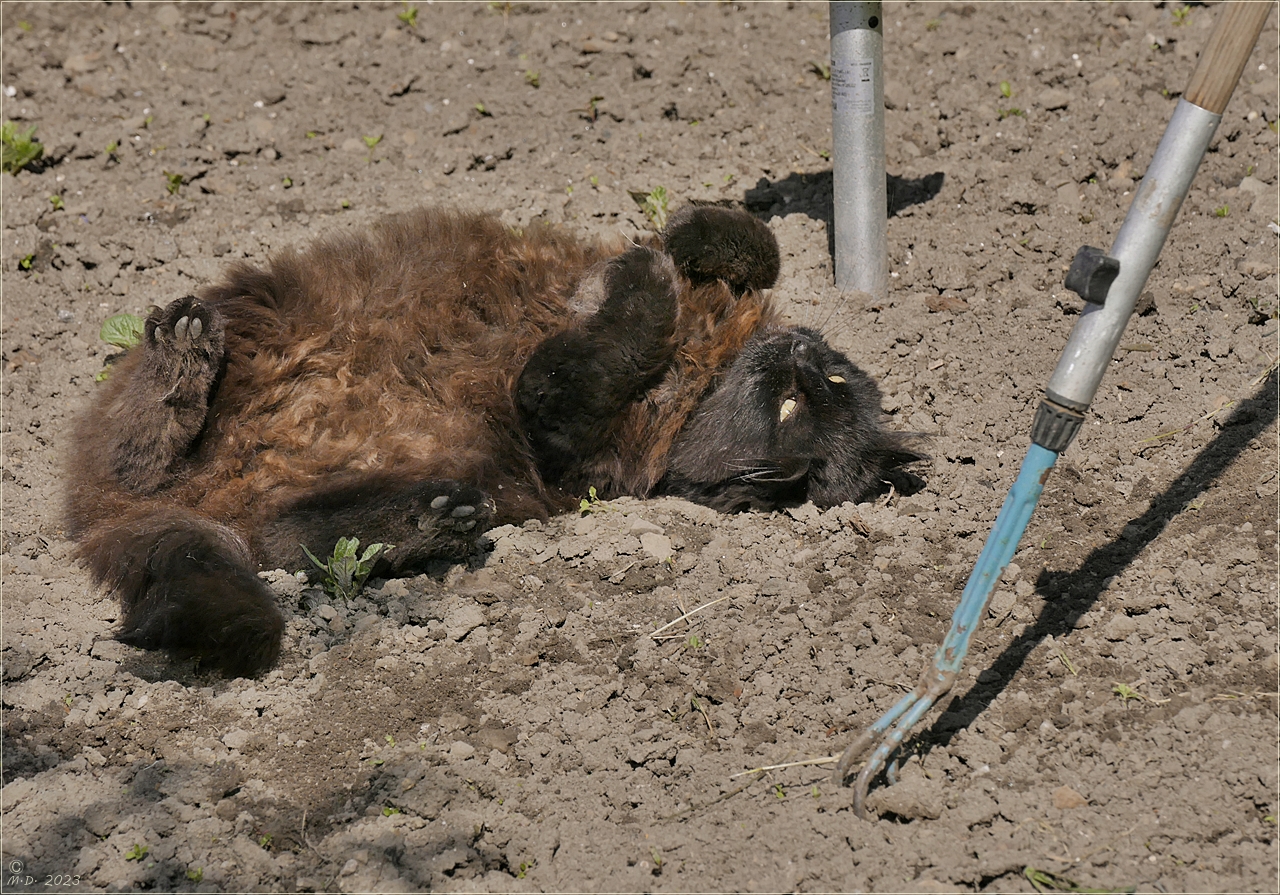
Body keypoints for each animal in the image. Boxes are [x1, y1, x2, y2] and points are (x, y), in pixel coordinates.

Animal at [67, 204, 921, 681]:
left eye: (793, 407)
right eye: (827, 382)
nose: (802, 354)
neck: (697, 380)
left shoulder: (561, 432)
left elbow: (608, 344)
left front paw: (649, 283)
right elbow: (758, 245)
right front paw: (690, 236)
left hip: (343, 493)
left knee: (264, 519)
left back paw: (432, 519)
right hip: (242, 330)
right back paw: (188, 353)